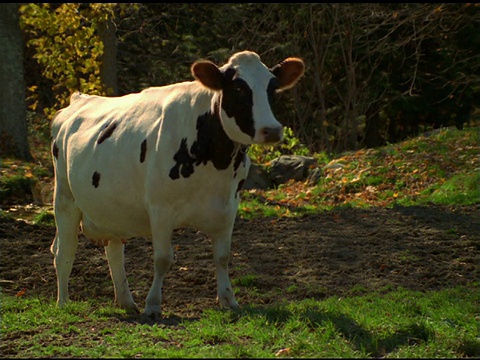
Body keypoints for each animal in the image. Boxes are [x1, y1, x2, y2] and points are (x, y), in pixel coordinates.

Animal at [50, 50, 306, 318]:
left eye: (272, 88)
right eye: (238, 89)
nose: (272, 130)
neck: (215, 164)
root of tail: (79, 99)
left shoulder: (229, 207)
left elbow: (222, 257)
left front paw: (228, 300)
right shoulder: (160, 209)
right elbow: (163, 258)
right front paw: (153, 305)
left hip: (111, 208)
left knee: (114, 250)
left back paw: (126, 302)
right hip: (64, 198)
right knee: (64, 250)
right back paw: (63, 302)